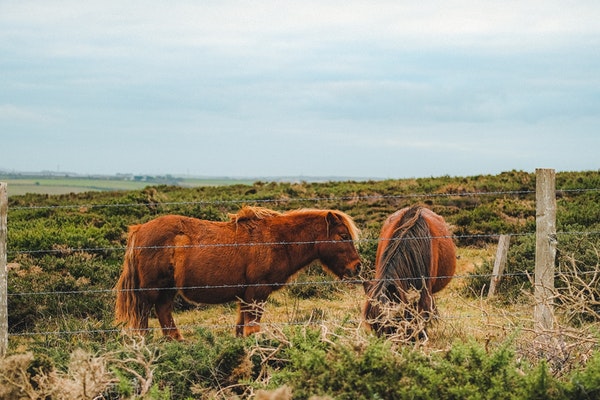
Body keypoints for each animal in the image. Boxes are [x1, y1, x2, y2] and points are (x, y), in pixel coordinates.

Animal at [116, 206, 360, 340]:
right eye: (343, 236)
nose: (357, 267)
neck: (278, 240)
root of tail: (139, 230)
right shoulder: (257, 294)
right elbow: (252, 329)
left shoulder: (246, 296)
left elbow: (241, 328)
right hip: (151, 291)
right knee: (144, 318)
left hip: (167, 289)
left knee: (164, 312)